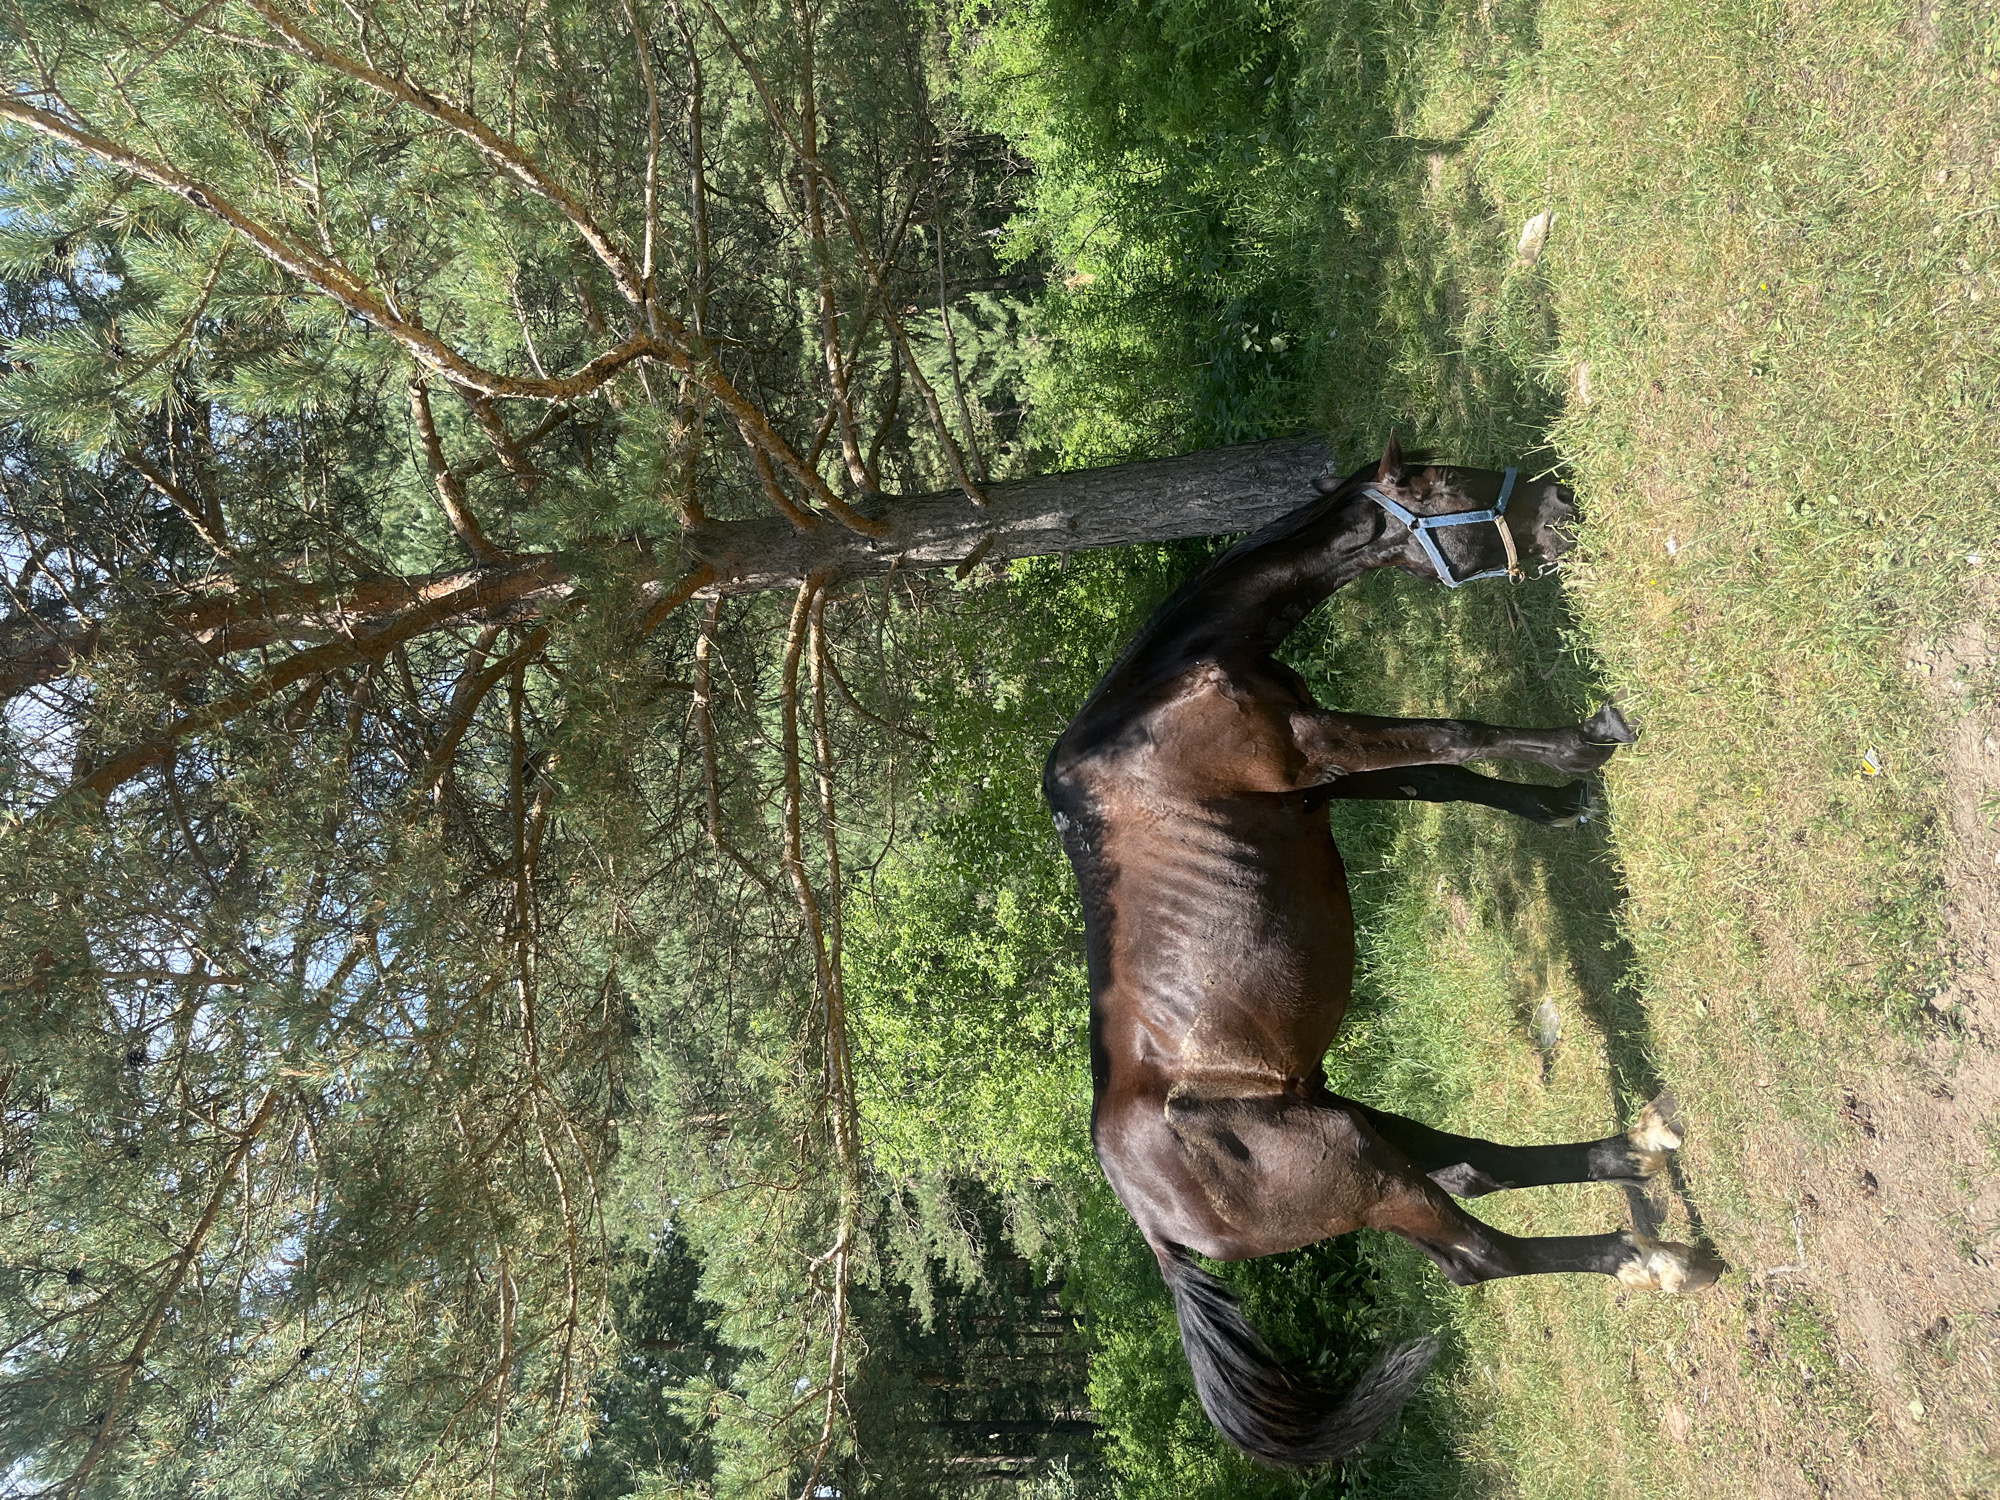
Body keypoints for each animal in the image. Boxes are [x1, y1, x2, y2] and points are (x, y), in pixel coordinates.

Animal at [1042, 438, 1724, 1468]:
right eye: (1439, 485)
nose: (1559, 505)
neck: (1165, 691)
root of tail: (1157, 1228)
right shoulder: (1317, 750)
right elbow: (1458, 733)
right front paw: (1587, 743)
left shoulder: (1325, 782)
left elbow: (1446, 776)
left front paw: (1561, 798)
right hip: (1357, 1161)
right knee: (1480, 1255)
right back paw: (1654, 1261)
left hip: (1357, 1125)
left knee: (1479, 1167)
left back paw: (1633, 1146)